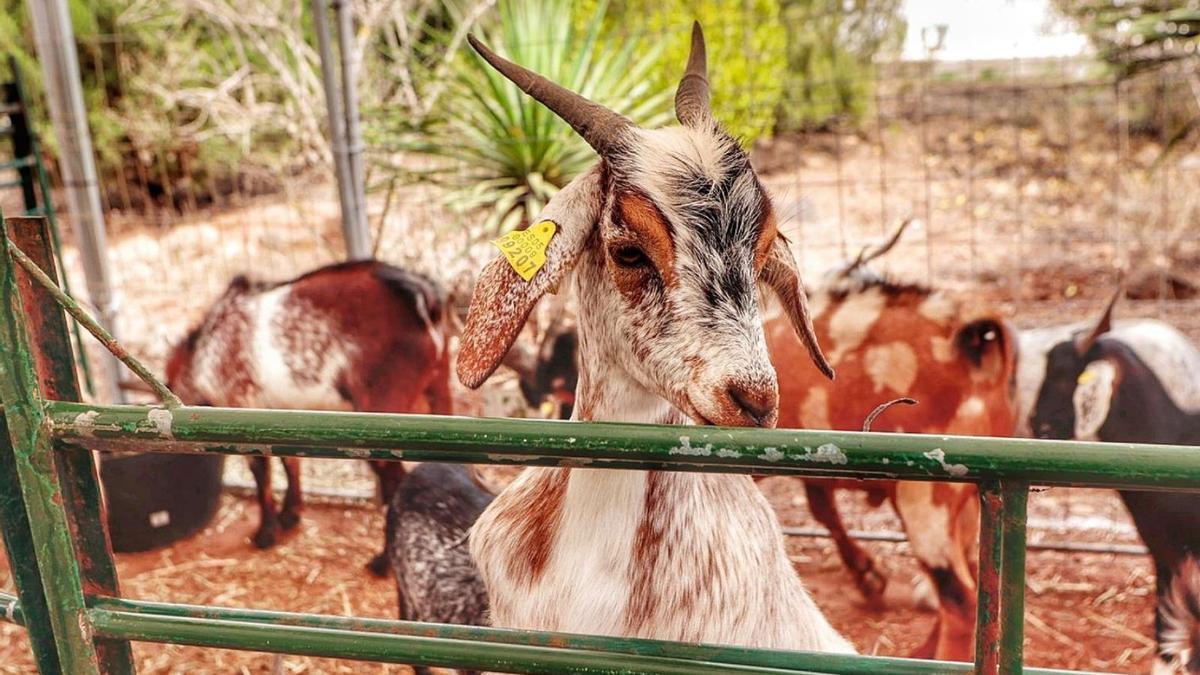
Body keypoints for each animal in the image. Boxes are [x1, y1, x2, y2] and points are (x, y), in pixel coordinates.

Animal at [164, 257, 451, 571]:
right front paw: (290, 517)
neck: (205, 353)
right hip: (440, 392)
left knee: (397, 484)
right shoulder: (281, 412)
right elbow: (290, 460)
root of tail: (424, 300)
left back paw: (383, 562)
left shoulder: (240, 406)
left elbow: (262, 474)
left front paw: (266, 533)